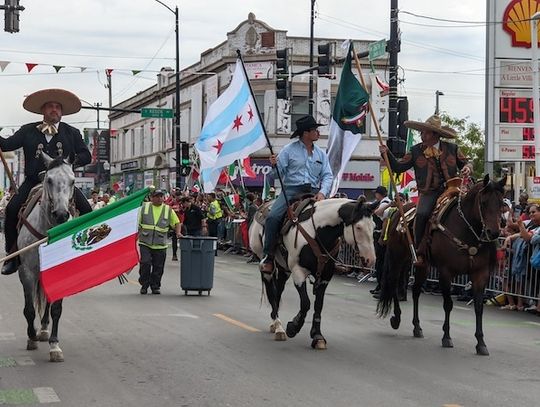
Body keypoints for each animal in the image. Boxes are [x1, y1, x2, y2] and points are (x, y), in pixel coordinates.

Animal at [249, 198, 376, 350]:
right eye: (358, 227)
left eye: (374, 226)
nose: (370, 260)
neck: (318, 233)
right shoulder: (298, 272)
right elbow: (306, 303)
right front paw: (293, 327)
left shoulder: (325, 276)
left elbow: (318, 305)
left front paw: (317, 336)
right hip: (266, 263)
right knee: (271, 290)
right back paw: (279, 327)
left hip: (284, 269)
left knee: (278, 291)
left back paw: (275, 324)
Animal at [378, 175, 504, 356]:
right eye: (484, 202)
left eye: (502, 203)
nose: (493, 233)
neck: (466, 230)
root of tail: (398, 212)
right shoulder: (446, 272)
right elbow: (448, 304)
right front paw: (446, 337)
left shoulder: (480, 274)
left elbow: (479, 307)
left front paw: (481, 343)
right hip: (397, 258)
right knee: (394, 283)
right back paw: (396, 318)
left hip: (422, 265)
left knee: (415, 291)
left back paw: (417, 327)